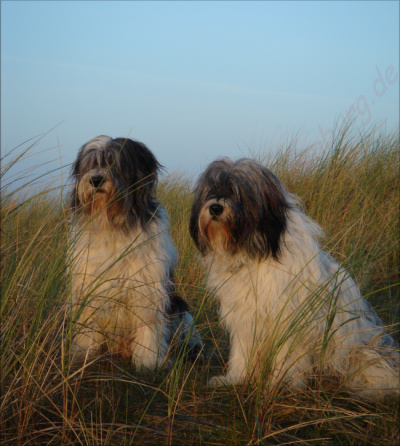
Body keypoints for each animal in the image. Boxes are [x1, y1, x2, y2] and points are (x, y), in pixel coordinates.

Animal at [68, 138, 203, 368]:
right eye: (91, 164)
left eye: (114, 163)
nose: (96, 179)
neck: (113, 224)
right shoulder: (89, 284)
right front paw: (84, 353)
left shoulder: (147, 285)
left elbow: (148, 325)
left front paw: (150, 361)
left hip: (179, 308)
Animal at [189, 159, 398, 398]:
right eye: (212, 190)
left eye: (238, 192)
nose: (215, 208)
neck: (254, 254)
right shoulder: (246, 316)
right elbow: (242, 353)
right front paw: (234, 379)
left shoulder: (289, 319)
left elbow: (286, 358)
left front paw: (281, 383)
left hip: (359, 353)